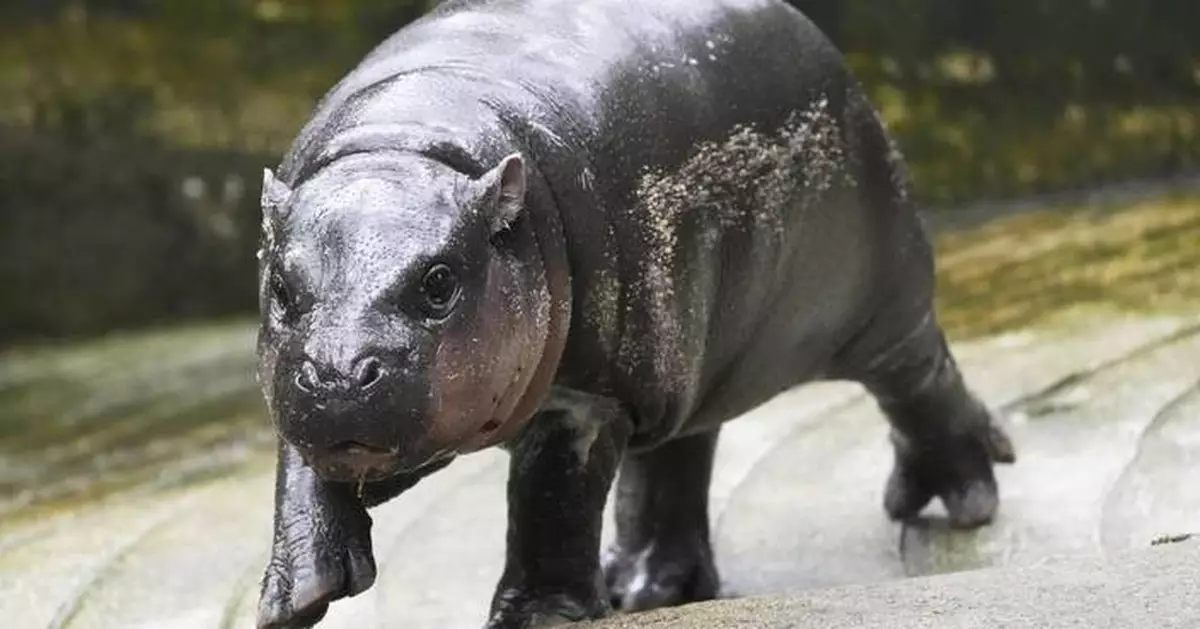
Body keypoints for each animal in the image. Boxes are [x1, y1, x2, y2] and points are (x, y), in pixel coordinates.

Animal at [253, 0, 1012, 624]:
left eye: (439, 281)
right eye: (282, 288)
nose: (340, 374)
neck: (407, 145)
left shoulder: (590, 396)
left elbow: (552, 498)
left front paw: (540, 617)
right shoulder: (294, 384)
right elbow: (300, 470)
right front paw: (297, 597)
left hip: (878, 299)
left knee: (919, 376)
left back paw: (961, 500)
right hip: (691, 360)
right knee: (676, 458)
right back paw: (645, 587)